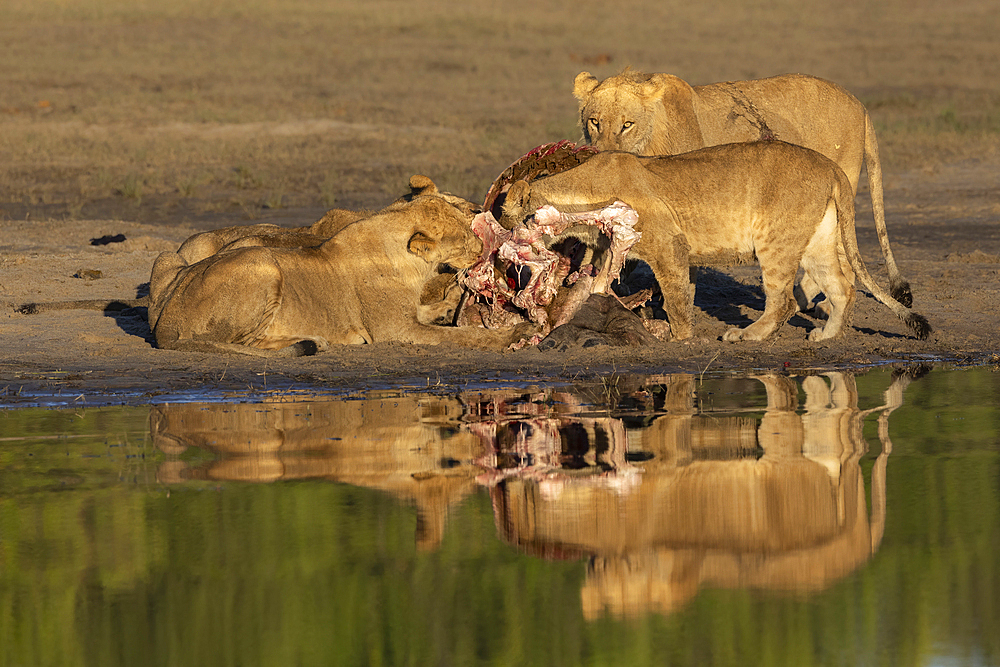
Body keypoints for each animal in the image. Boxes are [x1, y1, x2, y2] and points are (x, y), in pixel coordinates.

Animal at [147, 190, 532, 358]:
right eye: (462, 236)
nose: (483, 247)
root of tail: (165, 323)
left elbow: (431, 311)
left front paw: (449, 306)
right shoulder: (395, 330)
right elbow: (462, 337)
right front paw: (516, 333)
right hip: (263, 264)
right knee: (243, 343)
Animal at [500, 144, 928, 348]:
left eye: (505, 212)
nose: (499, 237)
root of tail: (831, 166)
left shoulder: (669, 244)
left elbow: (676, 297)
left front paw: (681, 339)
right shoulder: (612, 249)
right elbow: (603, 286)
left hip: (775, 242)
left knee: (784, 301)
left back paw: (747, 335)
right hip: (816, 242)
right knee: (843, 287)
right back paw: (827, 336)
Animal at [576, 68, 912, 310]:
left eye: (627, 125)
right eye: (594, 122)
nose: (601, 155)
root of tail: (860, 105)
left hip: (841, 185)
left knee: (844, 256)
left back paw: (815, 305)